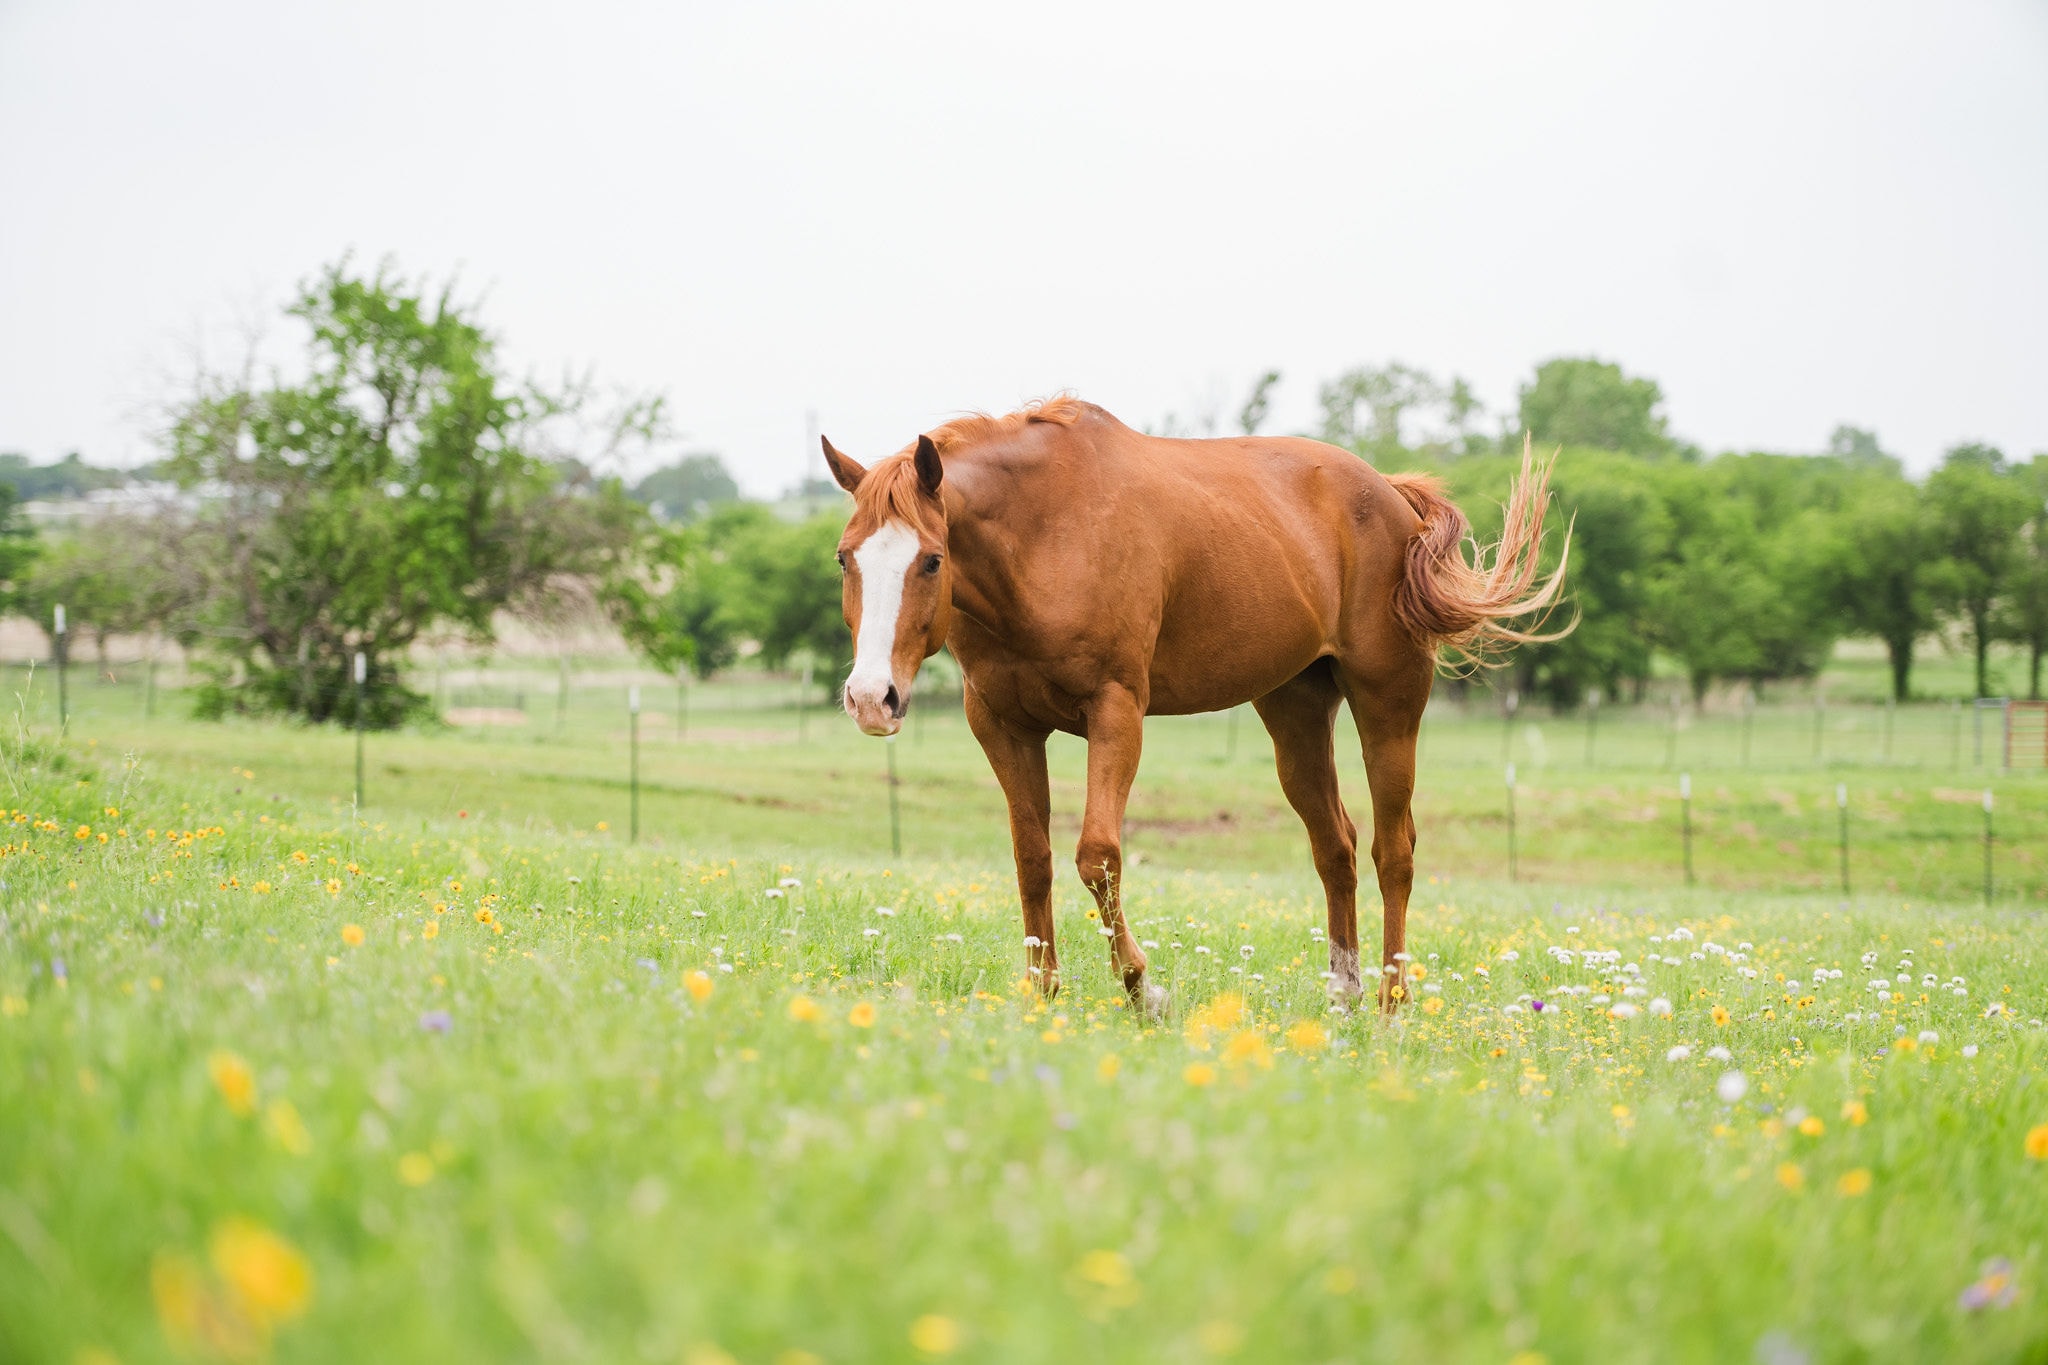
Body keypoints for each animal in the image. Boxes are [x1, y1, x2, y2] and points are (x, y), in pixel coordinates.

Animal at [822, 397, 1565, 1014]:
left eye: (931, 560)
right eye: (844, 558)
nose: (871, 698)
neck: (1046, 533)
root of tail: (1391, 496)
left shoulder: (1115, 712)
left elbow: (1097, 857)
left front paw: (1142, 988)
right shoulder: (1002, 724)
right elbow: (1032, 857)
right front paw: (1042, 993)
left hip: (1389, 706)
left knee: (1395, 850)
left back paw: (1391, 1002)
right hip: (1294, 712)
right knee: (1337, 846)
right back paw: (1344, 996)